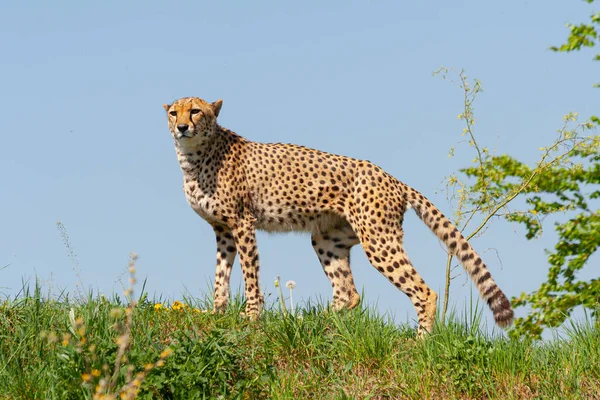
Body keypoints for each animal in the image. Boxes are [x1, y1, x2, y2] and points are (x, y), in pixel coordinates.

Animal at [164, 97, 516, 334]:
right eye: (173, 112)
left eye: (195, 111)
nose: (182, 127)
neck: (195, 156)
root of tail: (392, 177)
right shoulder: (223, 230)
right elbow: (220, 275)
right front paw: (216, 313)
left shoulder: (242, 224)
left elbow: (250, 276)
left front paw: (251, 317)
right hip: (327, 238)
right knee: (349, 293)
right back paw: (316, 323)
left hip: (378, 241)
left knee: (423, 291)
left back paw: (420, 343)